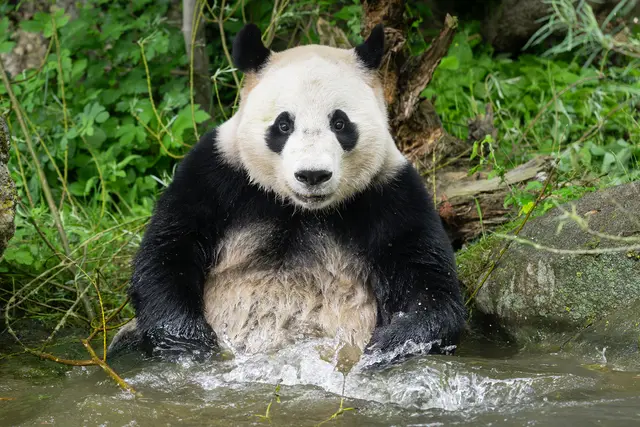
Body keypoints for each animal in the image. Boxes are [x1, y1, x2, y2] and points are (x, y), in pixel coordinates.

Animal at [108, 23, 466, 362]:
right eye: (283, 124)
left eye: (340, 123)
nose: (312, 175)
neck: (302, 210)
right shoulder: (216, 175)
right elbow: (168, 252)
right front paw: (187, 342)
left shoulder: (390, 193)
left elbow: (430, 283)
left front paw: (390, 344)